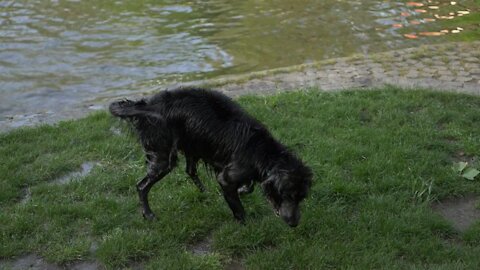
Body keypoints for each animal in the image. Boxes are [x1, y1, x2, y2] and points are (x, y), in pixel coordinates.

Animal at [108, 87, 312, 227]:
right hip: (163, 157)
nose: (294, 223)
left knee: (190, 170)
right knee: (141, 186)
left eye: (301, 198)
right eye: (286, 195)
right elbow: (239, 207)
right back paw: (148, 214)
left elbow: (249, 186)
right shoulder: (227, 177)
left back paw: (205, 192)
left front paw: (242, 190)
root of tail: (148, 104)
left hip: (192, 145)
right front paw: (246, 224)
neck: (261, 151)